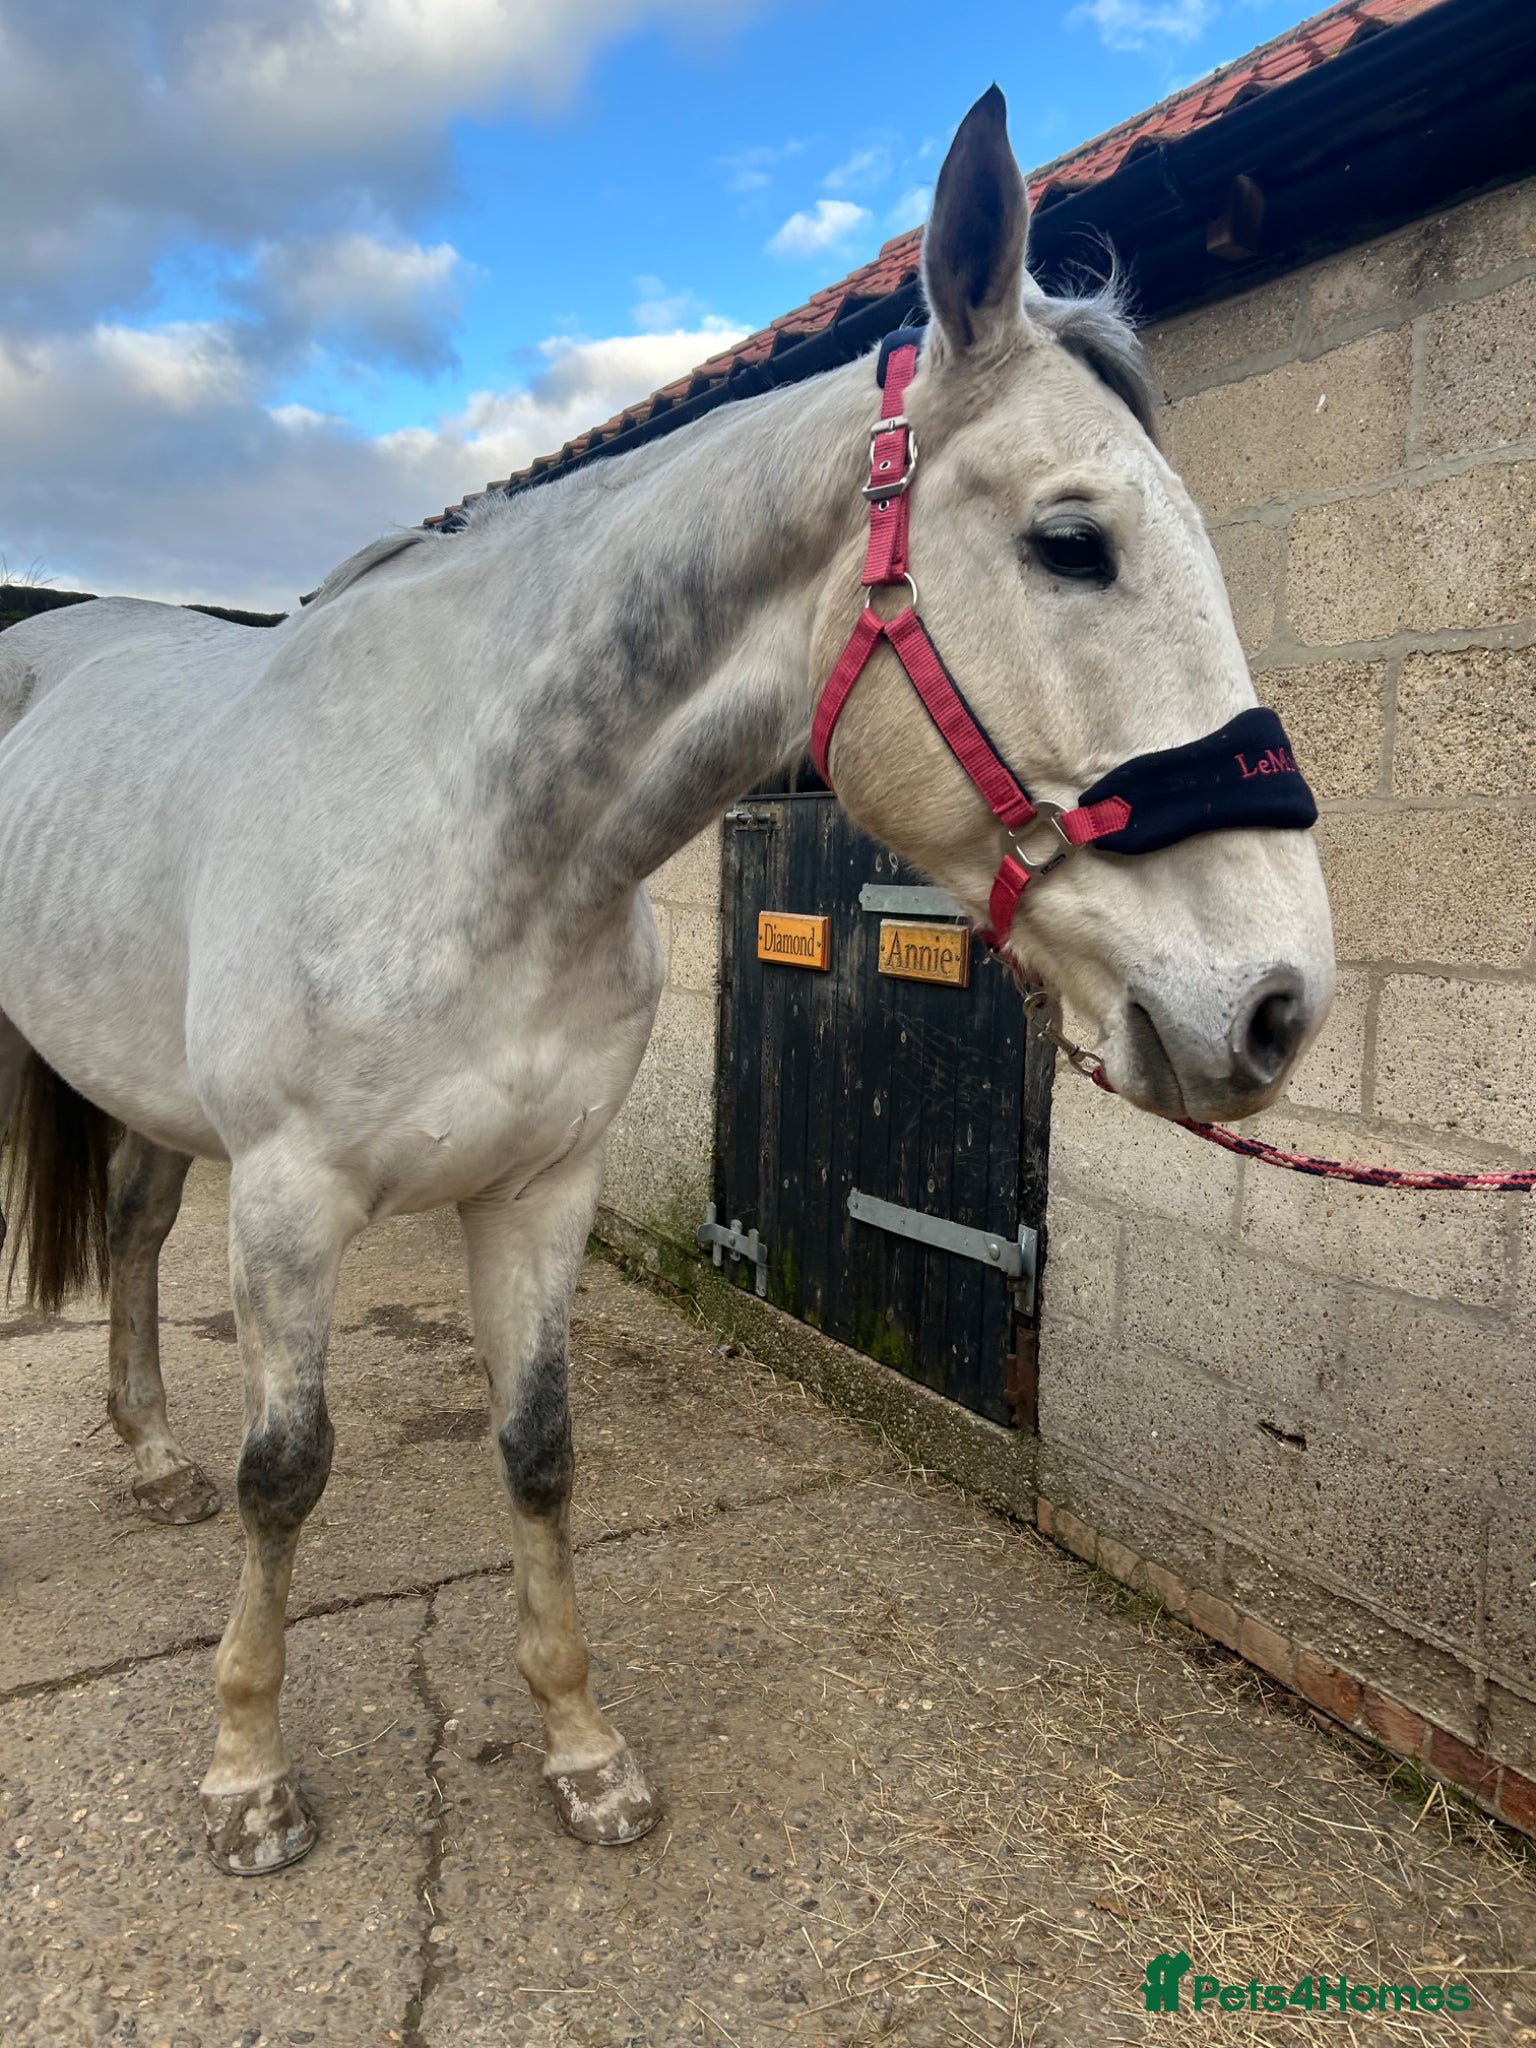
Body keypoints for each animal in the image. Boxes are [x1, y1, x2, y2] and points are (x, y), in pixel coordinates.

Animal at [0, 88, 1335, 1875]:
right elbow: (288, 1472)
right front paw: (246, 1774)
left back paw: (150, 1458)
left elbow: (541, 1454)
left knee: (138, 1238)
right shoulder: (287, 1199)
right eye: (1074, 544)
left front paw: (583, 1751)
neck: (477, 829)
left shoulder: (540, 1190)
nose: (1275, 1007)